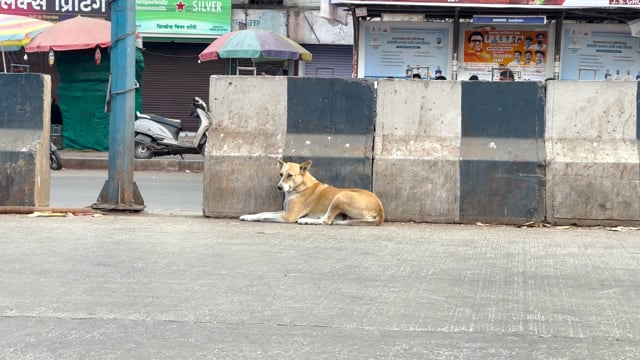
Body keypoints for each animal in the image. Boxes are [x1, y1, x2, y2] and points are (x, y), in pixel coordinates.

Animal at [240, 160, 384, 225]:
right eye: (281, 174)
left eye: (290, 175)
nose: (279, 187)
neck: (300, 187)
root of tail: (380, 207)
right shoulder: (284, 211)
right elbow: (263, 212)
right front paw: (248, 216)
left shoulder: (288, 216)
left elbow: (265, 216)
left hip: (341, 196)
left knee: (327, 220)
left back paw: (307, 220)